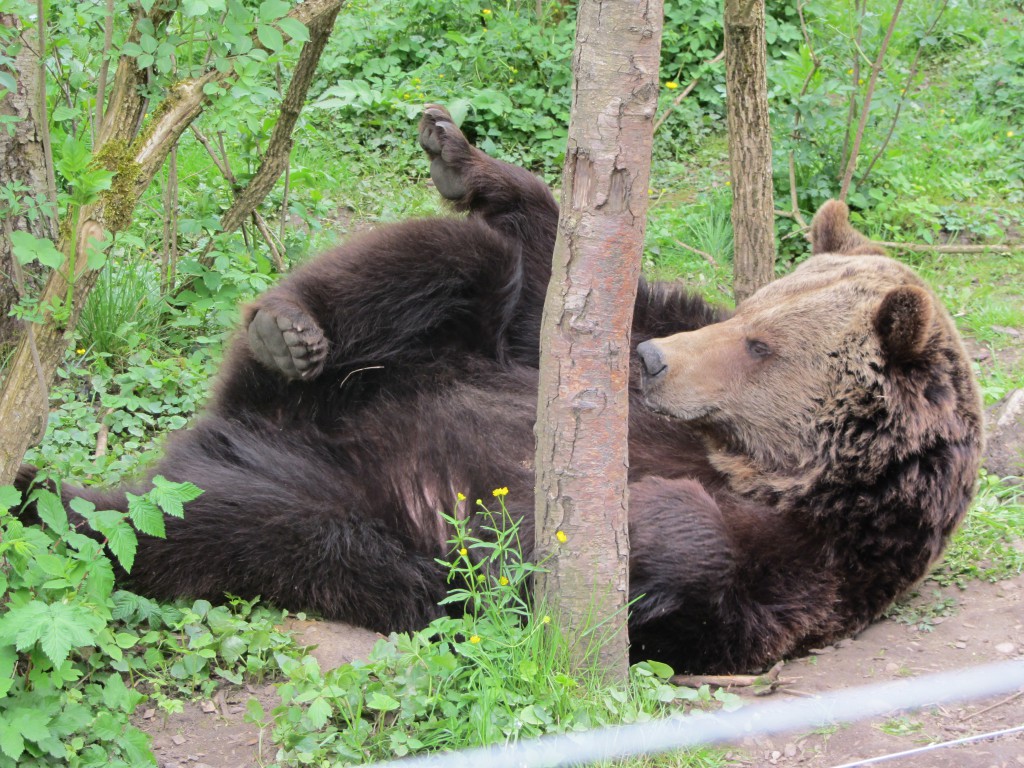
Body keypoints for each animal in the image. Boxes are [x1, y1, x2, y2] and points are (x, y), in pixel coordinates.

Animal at [15, 105, 983, 674]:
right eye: (752, 309)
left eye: (761, 344)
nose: (654, 363)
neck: (756, 467)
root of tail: (235, 431)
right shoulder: (583, 339)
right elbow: (562, 281)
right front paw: (469, 159)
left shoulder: (818, 565)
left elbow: (698, 579)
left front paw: (626, 517)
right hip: (389, 377)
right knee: (457, 261)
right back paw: (286, 329)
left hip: (347, 520)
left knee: (205, 528)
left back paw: (56, 503)